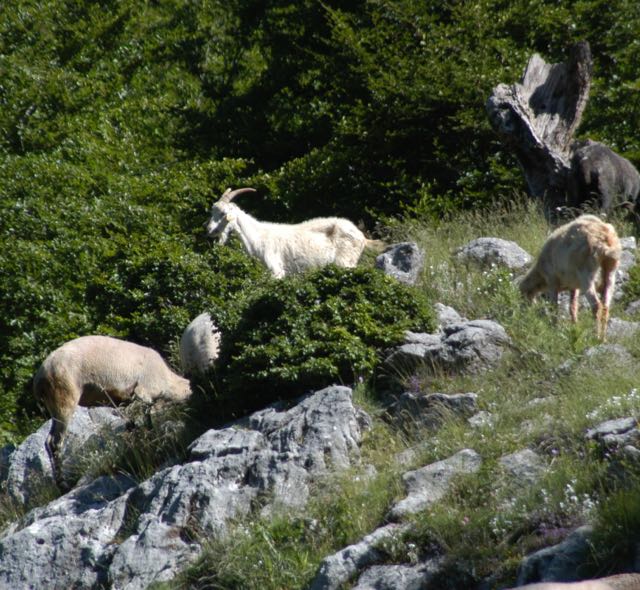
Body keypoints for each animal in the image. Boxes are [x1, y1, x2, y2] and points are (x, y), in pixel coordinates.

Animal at [32, 336, 191, 478]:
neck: (170, 382)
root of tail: (40, 376)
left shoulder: (126, 402)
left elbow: (133, 425)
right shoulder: (143, 393)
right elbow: (146, 421)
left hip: (53, 404)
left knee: (49, 441)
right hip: (64, 397)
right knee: (54, 442)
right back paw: (62, 483)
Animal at [206, 190, 384, 280]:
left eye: (223, 213)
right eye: (212, 212)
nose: (209, 230)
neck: (257, 237)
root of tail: (362, 237)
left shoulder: (276, 271)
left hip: (345, 261)